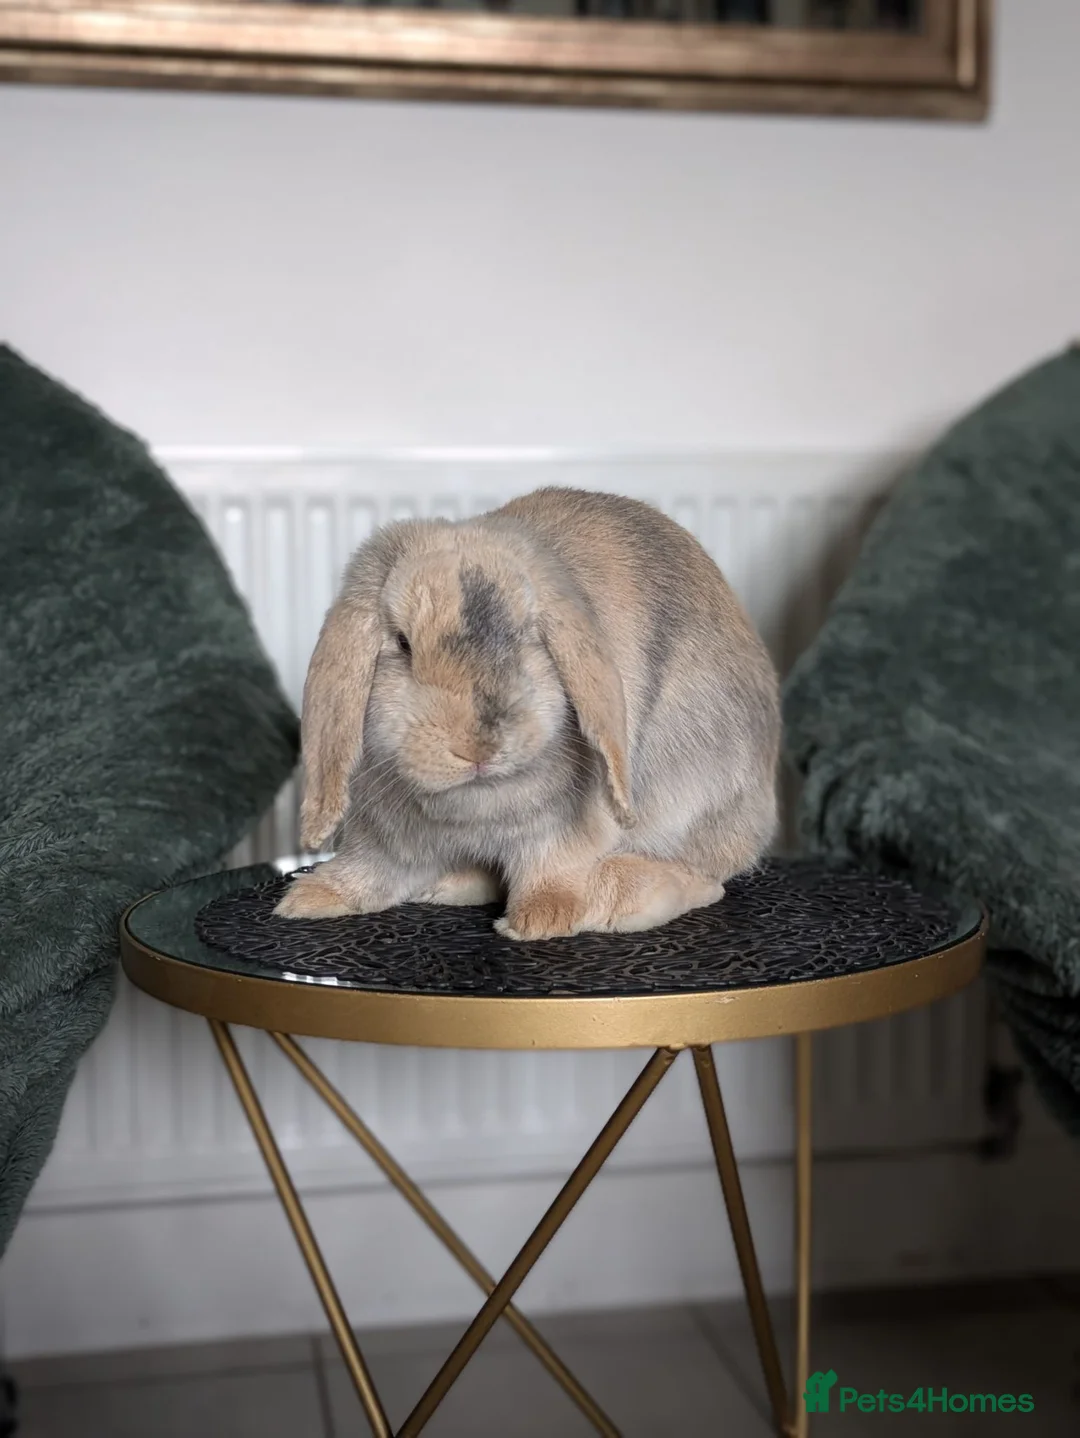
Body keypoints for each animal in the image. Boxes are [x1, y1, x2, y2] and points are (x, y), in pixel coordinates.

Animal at [275, 487, 780, 940]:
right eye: (402, 643)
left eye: (527, 637)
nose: (477, 748)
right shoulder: (385, 840)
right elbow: (370, 872)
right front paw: (310, 899)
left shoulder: (563, 833)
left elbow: (550, 873)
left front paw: (537, 921)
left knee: (708, 877)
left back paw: (621, 898)